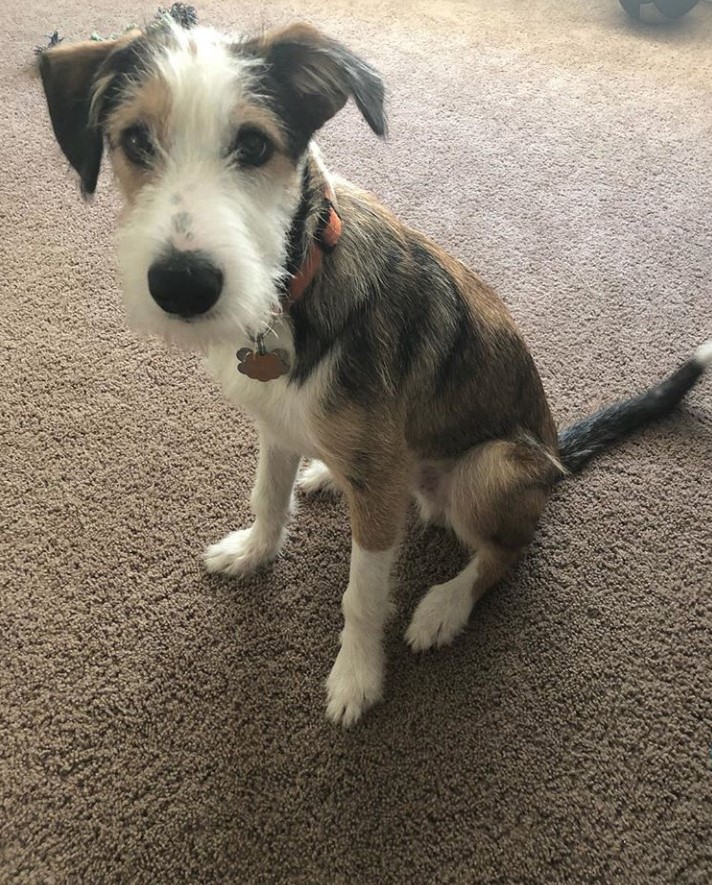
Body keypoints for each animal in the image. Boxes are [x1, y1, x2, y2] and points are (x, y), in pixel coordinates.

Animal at [40, 20, 712, 724]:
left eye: (253, 145)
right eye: (135, 141)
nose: (183, 285)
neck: (294, 293)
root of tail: (557, 455)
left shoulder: (377, 499)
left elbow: (362, 596)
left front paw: (356, 679)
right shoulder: (276, 428)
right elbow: (268, 498)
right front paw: (254, 552)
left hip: (490, 468)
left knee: (506, 551)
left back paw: (445, 606)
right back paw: (325, 477)